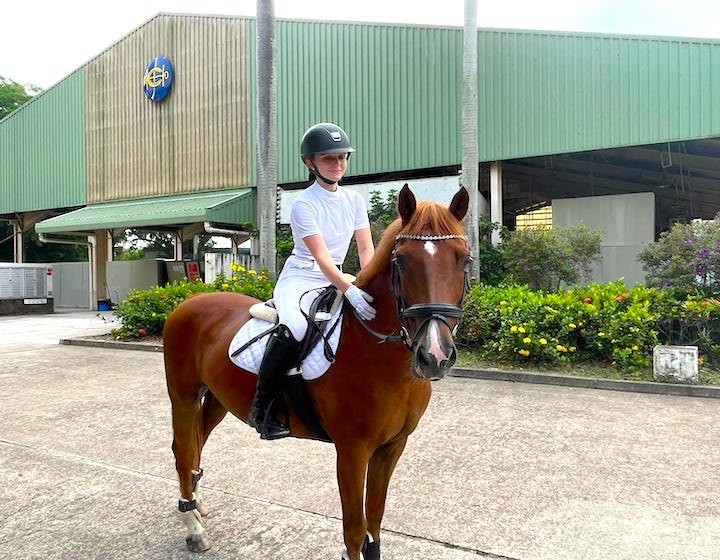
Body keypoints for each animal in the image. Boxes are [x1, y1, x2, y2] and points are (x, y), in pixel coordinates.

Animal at [166, 185, 476, 560]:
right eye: (401, 261)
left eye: (464, 260)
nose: (435, 355)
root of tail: (189, 301)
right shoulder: (352, 451)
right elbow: (355, 531)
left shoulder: (392, 447)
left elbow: (375, 521)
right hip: (183, 396)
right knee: (183, 450)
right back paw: (193, 527)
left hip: (217, 399)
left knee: (196, 444)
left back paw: (197, 505)